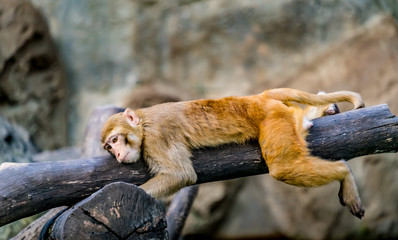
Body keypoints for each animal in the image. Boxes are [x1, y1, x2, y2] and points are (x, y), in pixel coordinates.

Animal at [101, 88, 366, 219]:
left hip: (273, 118)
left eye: (115, 140)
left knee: (284, 168)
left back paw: (343, 172)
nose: (117, 154)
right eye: (109, 147)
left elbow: (181, 175)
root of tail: (260, 97)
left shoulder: (157, 138)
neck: (143, 123)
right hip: (283, 115)